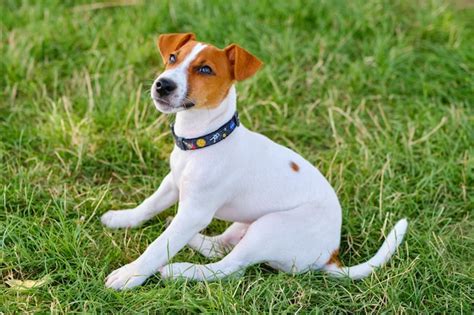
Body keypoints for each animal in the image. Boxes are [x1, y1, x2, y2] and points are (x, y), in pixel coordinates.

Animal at [101, 32, 408, 292]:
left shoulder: (195, 212)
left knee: (230, 267)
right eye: (173, 57)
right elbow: (148, 205)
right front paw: (122, 218)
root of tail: (331, 256)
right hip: (246, 223)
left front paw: (130, 275)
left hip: (269, 228)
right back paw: (191, 238)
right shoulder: (173, 183)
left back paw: (180, 270)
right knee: (220, 248)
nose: (163, 84)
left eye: (205, 70)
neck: (205, 141)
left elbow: (158, 247)